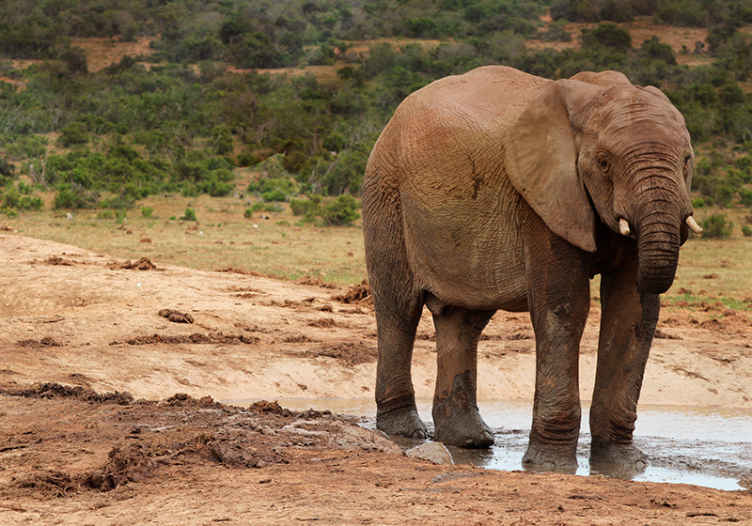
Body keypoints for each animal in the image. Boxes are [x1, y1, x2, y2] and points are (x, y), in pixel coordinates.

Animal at [361, 65, 701, 471]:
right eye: (604, 162)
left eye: (686, 160)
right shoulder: (542, 199)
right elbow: (565, 306)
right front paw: (551, 466)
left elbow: (633, 311)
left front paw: (623, 466)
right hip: (386, 192)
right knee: (399, 310)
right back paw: (406, 433)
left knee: (463, 320)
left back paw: (469, 441)